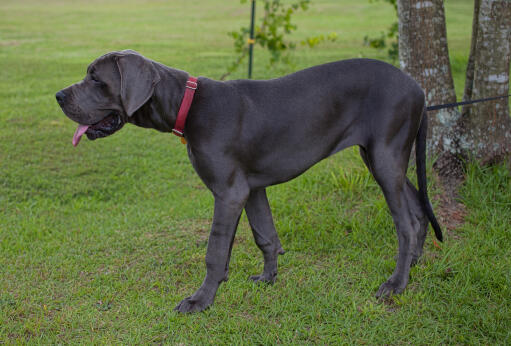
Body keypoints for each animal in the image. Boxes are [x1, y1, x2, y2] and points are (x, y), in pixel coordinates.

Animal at [55, 50, 440, 312]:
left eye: (95, 79)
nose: (58, 96)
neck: (188, 104)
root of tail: (418, 89)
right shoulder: (252, 187)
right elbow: (265, 236)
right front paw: (267, 278)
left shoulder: (229, 191)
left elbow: (214, 250)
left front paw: (200, 300)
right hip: (380, 157)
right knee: (417, 209)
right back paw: (415, 262)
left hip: (385, 156)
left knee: (405, 222)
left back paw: (396, 283)